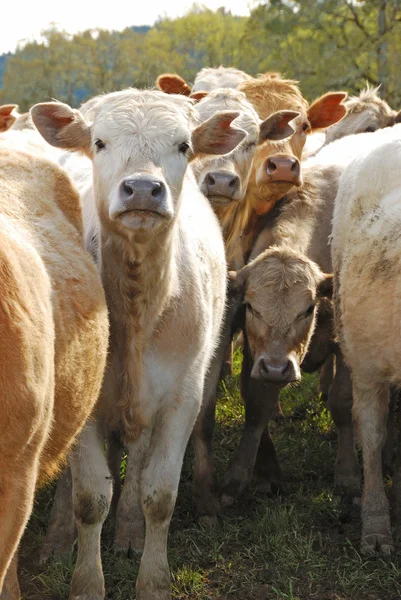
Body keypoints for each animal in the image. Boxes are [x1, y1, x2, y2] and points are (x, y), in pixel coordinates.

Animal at [30, 89, 244, 600]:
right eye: (99, 141)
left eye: (184, 145)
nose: (144, 190)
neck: (135, 308)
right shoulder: (85, 400)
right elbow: (89, 496)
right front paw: (86, 581)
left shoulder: (183, 397)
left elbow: (158, 494)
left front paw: (153, 579)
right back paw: (57, 539)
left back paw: (127, 532)